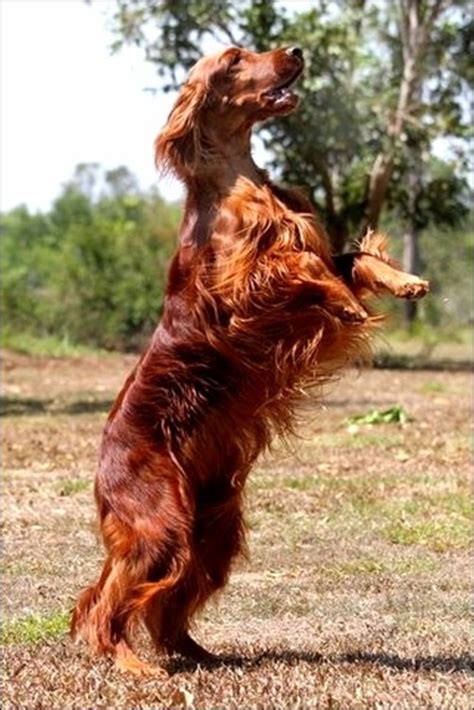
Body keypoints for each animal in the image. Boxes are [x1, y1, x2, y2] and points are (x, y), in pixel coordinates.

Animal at [70, 47, 430, 676]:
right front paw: (344, 302)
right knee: (109, 602)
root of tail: (101, 469)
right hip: (161, 523)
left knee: (164, 606)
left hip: (211, 528)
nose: (297, 50)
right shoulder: (241, 289)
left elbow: (349, 257)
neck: (242, 177)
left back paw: (201, 654)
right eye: (236, 59)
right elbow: (302, 269)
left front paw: (403, 280)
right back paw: (132, 664)